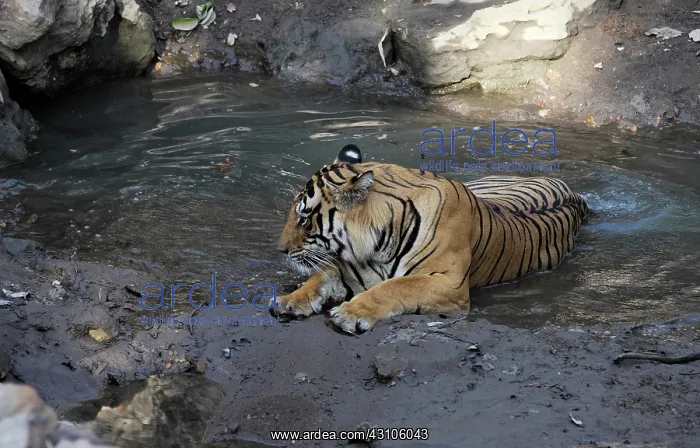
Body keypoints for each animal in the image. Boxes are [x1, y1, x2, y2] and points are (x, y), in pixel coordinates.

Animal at [272, 144, 589, 334]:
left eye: (304, 218)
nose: (281, 250)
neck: (378, 243)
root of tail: (572, 193)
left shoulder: (448, 283)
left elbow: (395, 287)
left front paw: (350, 313)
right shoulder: (353, 269)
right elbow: (319, 279)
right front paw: (289, 300)